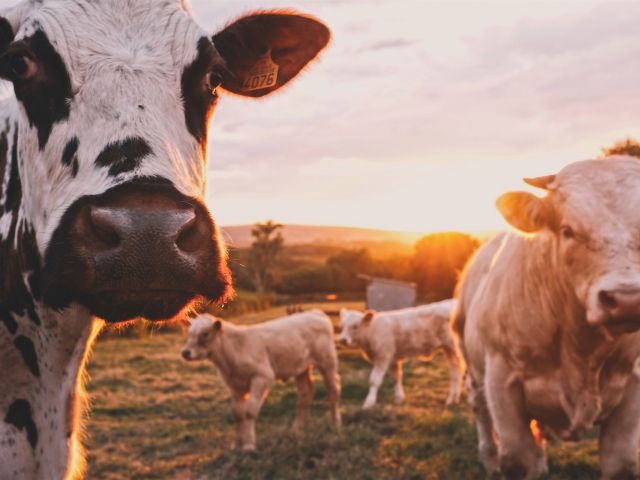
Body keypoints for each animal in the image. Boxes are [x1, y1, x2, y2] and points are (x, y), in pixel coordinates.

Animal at [180, 310, 342, 451]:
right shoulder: (235, 386)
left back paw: (335, 423)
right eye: (189, 333)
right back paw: (297, 428)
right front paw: (236, 444)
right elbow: (237, 413)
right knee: (305, 393)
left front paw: (249, 445)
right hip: (301, 367)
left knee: (333, 389)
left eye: (205, 333)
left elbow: (249, 411)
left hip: (327, 361)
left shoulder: (262, 376)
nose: (185, 352)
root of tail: (315, 312)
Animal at [453, 156, 640, 479]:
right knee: (480, 409)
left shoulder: (633, 386)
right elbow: (517, 459)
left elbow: (621, 464)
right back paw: (488, 458)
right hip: (472, 364)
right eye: (567, 230)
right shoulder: (501, 381)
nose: (627, 300)